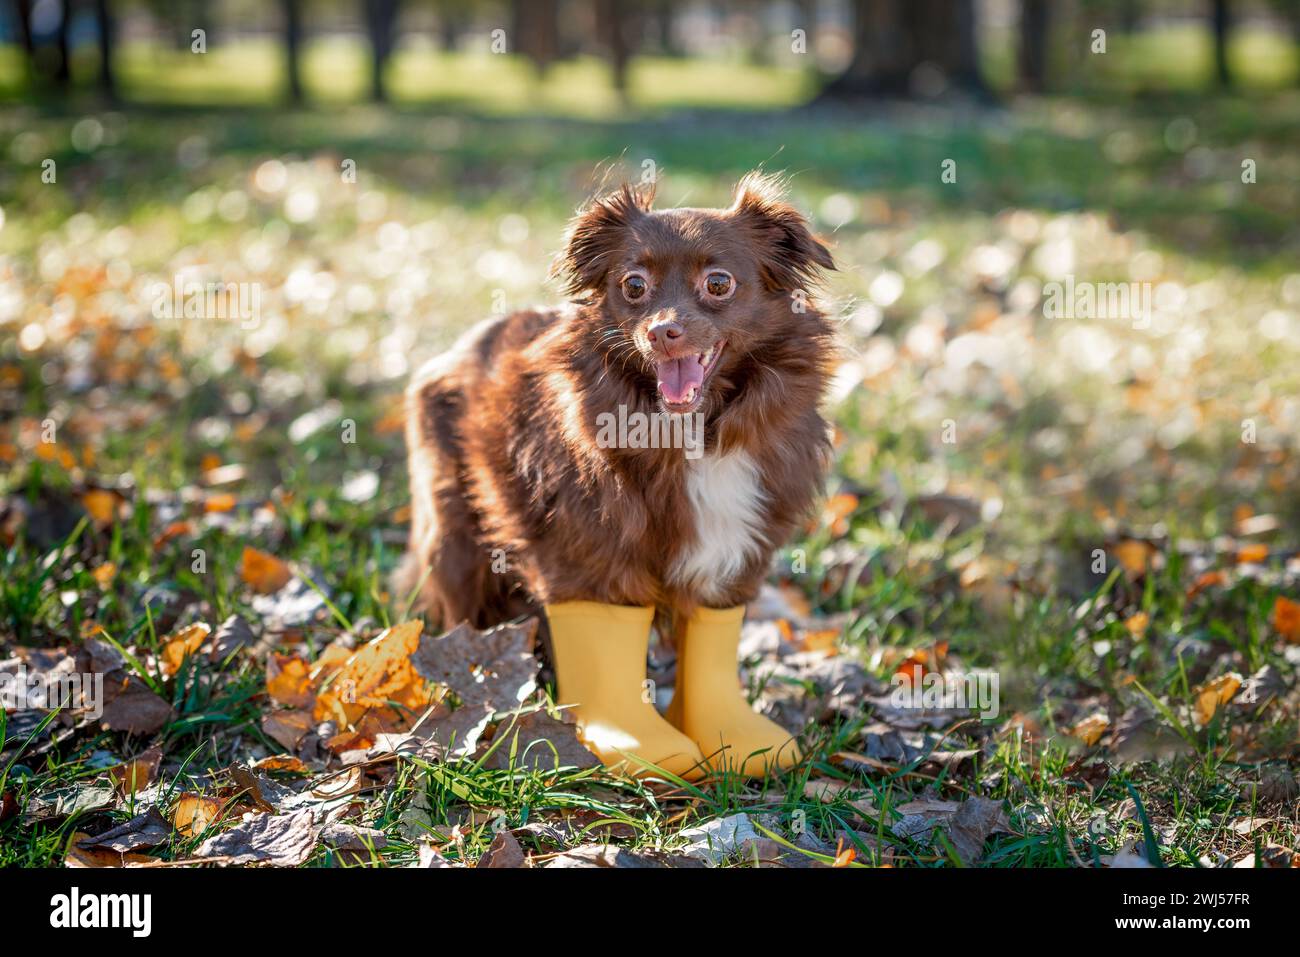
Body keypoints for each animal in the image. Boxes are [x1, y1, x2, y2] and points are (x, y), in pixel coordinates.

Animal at [395, 174, 837, 642]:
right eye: (634, 285)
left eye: (719, 283)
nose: (662, 332)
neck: (696, 433)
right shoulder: (590, 574)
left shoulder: (726, 576)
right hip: (451, 534)